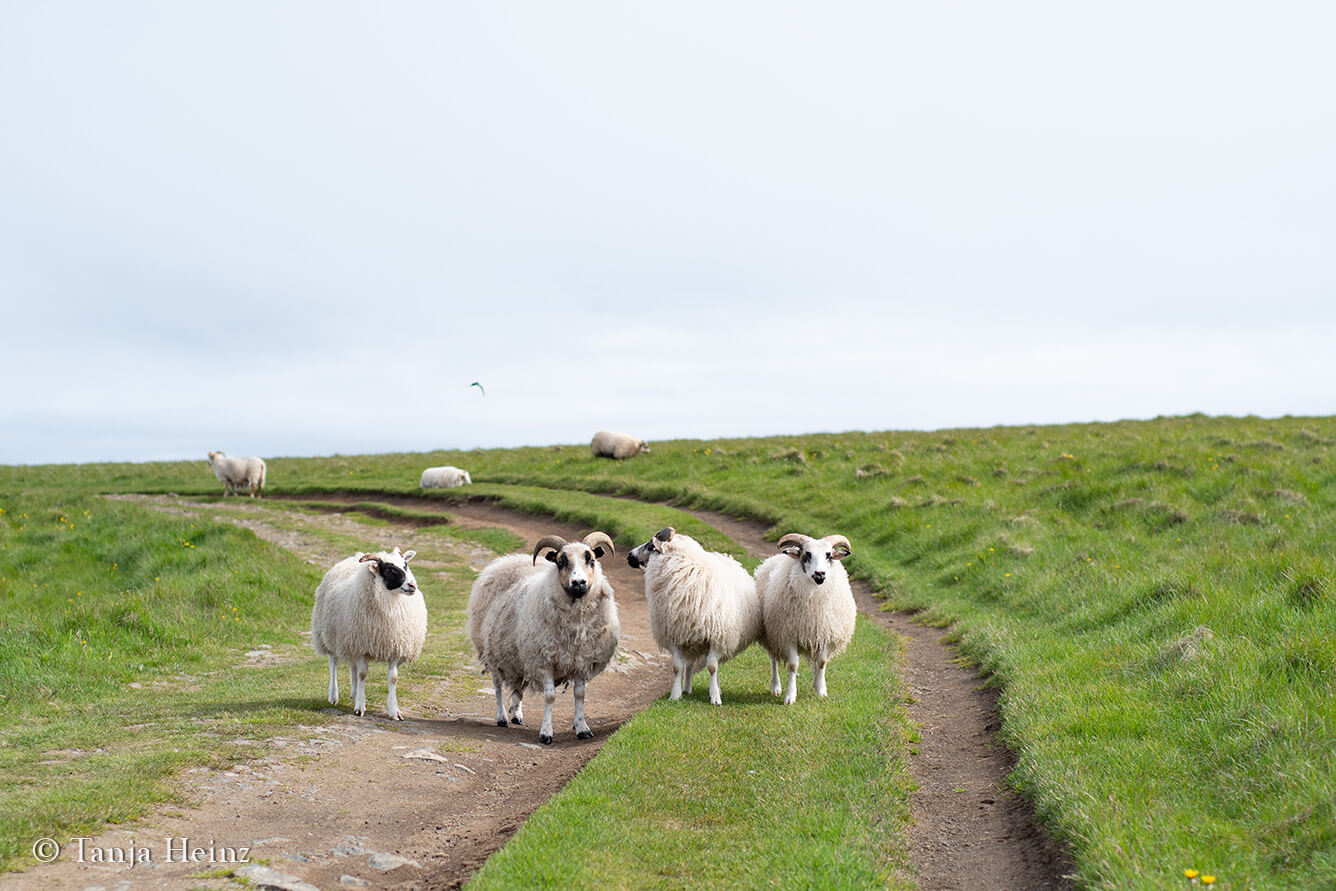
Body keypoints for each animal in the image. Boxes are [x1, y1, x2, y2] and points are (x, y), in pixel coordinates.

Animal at [309, 547, 424, 721]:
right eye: (389, 570)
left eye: (405, 565)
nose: (412, 585)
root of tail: (352, 558)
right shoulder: (361, 646)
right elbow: (363, 675)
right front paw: (360, 707)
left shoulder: (394, 647)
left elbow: (393, 678)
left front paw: (394, 711)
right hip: (330, 635)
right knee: (333, 664)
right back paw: (334, 696)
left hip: (350, 642)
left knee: (353, 668)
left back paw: (355, 693)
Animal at [467, 528, 617, 748]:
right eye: (561, 561)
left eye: (590, 559)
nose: (579, 583)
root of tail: (508, 560)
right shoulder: (544, 660)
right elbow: (550, 697)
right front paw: (546, 733)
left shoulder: (582, 661)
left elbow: (580, 695)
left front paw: (582, 728)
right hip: (493, 652)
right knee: (497, 685)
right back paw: (502, 717)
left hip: (517, 655)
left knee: (517, 686)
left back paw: (516, 714)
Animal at [625, 526, 764, 705]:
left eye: (651, 546)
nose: (629, 555)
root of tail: (726, 557)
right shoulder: (675, 636)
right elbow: (677, 667)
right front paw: (675, 695)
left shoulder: (717, 637)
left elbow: (712, 667)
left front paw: (715, 697)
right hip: (690, 641)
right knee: (690, 665)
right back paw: (687, 688)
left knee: (713, 666)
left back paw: (716, 688)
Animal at [753, 534, 855, 705]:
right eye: (807, 554)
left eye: (829, 555)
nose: (820, 574)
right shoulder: (787, 636)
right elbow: (793, 666)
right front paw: (790, 696)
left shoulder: (825, 634)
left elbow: (821, 662)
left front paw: (821, 690)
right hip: (772, 634)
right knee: (773, 659)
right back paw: (776, 687)